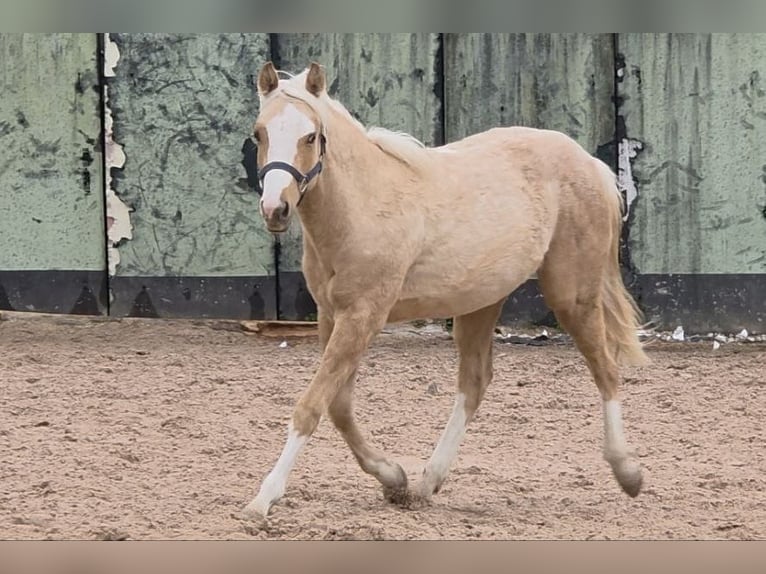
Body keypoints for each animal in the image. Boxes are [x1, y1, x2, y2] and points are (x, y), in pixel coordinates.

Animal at [243, 61, 649, 519]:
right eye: (259, 133)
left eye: (310, 136)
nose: (275, 209)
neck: (362, 207)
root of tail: (590, 163)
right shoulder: (333, 317)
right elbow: (339, 406)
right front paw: (393, 478)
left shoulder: (364, 316)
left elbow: (311, 406)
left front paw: (264, 499)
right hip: (480, 302)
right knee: (475, 383)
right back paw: (425, 484)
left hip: (572, 295)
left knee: (606, 370)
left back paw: (628, 473)